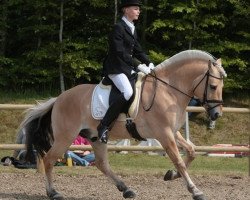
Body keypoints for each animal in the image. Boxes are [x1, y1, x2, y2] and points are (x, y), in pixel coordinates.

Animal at [20, 49, 227, 199]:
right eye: (213, 86)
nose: (216, 114)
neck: (168, 90)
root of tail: (59, 99)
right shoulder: (164, 134)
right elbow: (179, 160)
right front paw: (195, 190)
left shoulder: (173, 132)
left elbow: (191, 152)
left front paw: (170, 175)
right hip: (65, 137)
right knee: (49, 160)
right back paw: (53, 192)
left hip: (96, 137)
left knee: (101, 164)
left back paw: (126, 189)